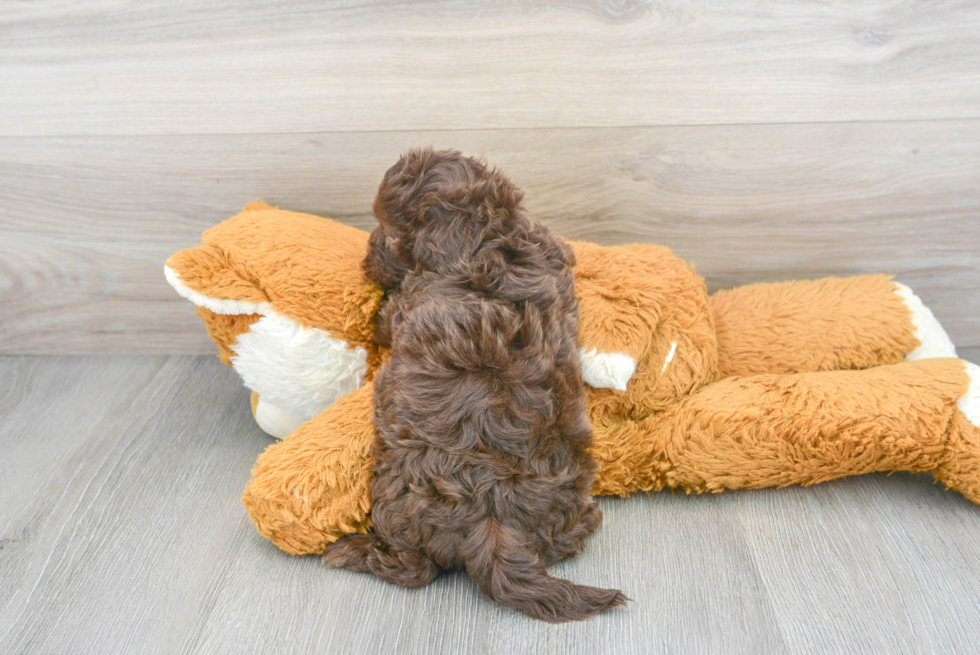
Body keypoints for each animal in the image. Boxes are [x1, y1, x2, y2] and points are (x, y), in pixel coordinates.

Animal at [324, 150, 628, 624]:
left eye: (388, 231)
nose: (367, 255)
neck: (491, 233)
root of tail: (494, 521)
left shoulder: (407, 304)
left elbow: (386, 318)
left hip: (397, 498)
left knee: (412, 569)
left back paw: (351, 551)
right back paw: (587, 521)